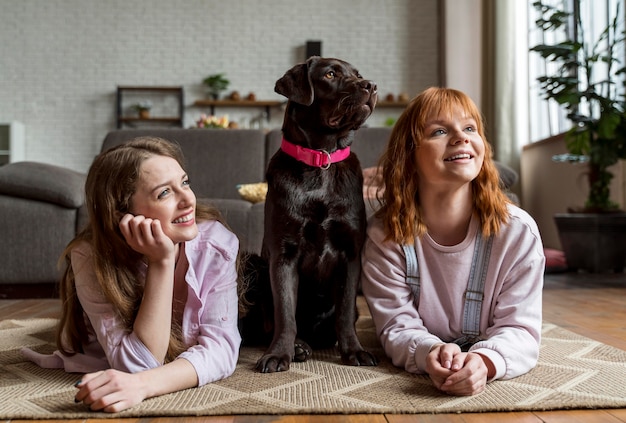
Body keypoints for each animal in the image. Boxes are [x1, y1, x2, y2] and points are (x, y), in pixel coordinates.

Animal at [252, 57, 378, 374]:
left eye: (358, 74)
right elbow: (285, 313)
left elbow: (344, 312)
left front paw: (354, 351)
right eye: (330, 74)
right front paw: (279, 354)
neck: (322, 161)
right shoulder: (283, 254)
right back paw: (298, 347)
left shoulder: (350, 254)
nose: (371, 85)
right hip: (259, 268)